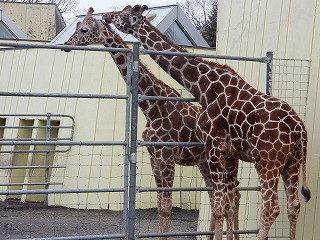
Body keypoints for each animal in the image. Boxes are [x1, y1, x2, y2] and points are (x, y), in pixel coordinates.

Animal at [62, 7, 239, 238]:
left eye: (84, 29)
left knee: (232, 200)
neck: (152, 108)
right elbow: (160, 206)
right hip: (204, 162)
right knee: (218, 199)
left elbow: (167, 206)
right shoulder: (154, 157)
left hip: (226, 160)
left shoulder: (167, 156)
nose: (66, 45)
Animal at [104, 5, 312, 240]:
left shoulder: (211, 147)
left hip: (267, 161)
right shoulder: (227, 153)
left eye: (123, 15)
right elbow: (224, 204)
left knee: (270, 207)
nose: (107, 17)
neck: (204, 86)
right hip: (292, 161)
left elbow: (218, 206)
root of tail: (300, 129)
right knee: (293, 205)